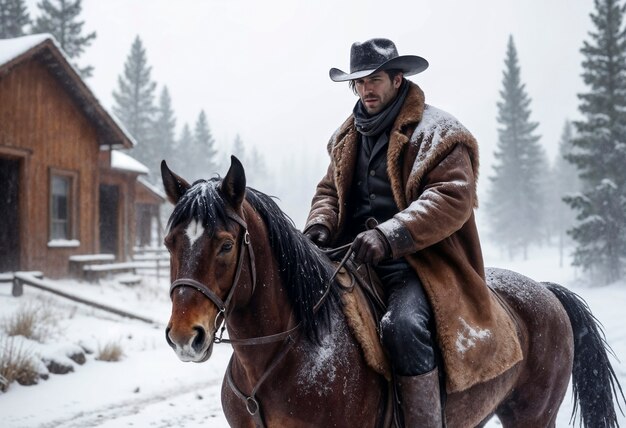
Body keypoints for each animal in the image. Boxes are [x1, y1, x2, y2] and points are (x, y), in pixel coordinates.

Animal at [160, 157, 620, 428]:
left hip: (534, 415)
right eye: (169, 242)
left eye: (225, 245)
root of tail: (546, 292)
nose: (186, 336)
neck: (288, 354)